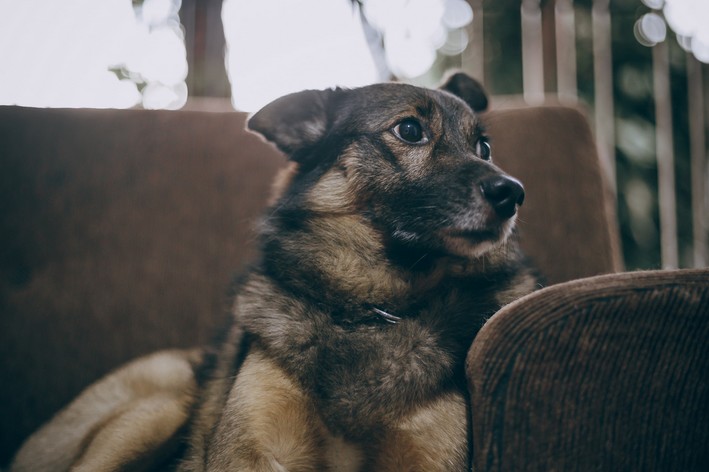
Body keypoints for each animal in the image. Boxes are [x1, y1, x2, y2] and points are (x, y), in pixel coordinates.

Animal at [9, 72, 536, 470]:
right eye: (409, 131)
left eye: (484, 147)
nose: (513, 193)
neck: (372, 308)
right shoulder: (248, 453)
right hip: (158, 408)